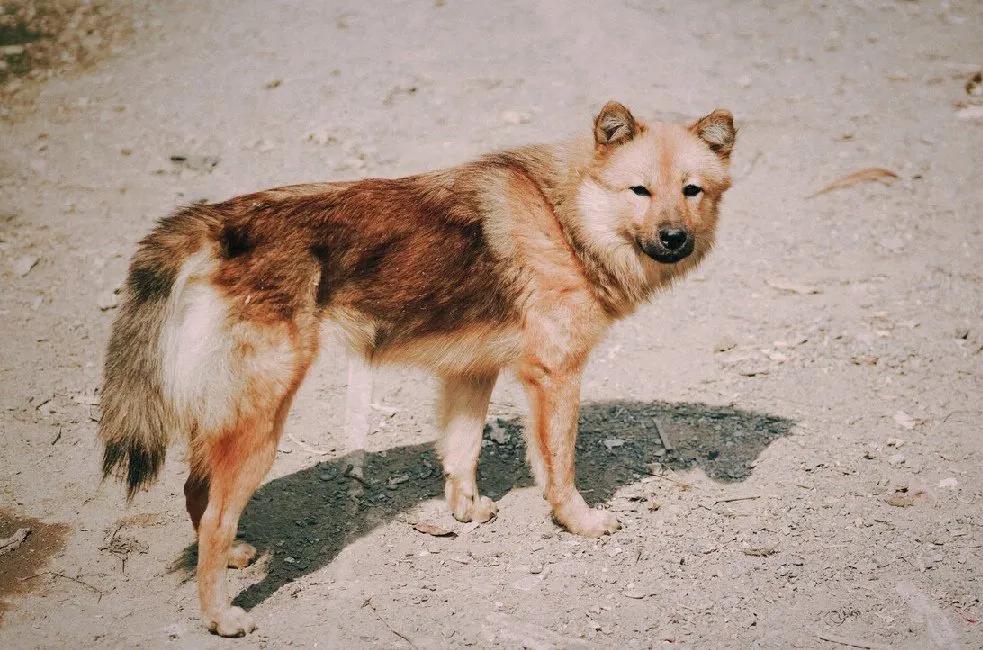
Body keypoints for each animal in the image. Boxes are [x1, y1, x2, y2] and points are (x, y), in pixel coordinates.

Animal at [100, 101, 736, 632]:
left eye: (692, 190)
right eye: (639, 190)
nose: (674, 237)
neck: (565, 215)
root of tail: (214, 223)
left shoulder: (471, 373)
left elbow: (461, 452)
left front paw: (466, 511)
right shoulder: (555, 377)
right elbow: (558, 470)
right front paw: (580, 522)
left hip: (234, 412)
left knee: (198, 490)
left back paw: (232, 559)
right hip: (263, 417)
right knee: (213, 514)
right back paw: (220, 617)